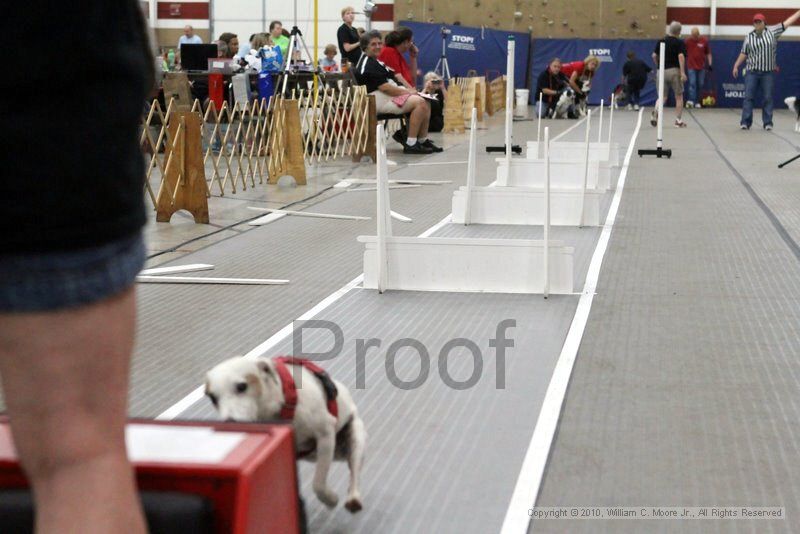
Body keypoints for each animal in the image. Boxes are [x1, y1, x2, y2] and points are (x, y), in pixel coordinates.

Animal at [206, 358, 368, 512]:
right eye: (212, 398)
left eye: (242, 386)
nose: (228, 422)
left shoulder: (325, 435)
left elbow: (318, 483)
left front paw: (330, 499)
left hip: (355, 440)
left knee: (354, 473)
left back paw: (353, 497)